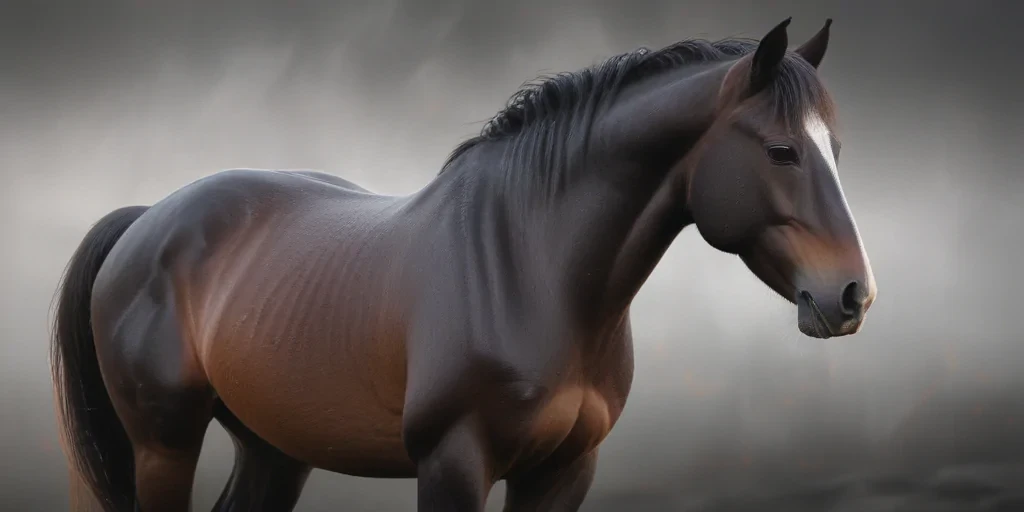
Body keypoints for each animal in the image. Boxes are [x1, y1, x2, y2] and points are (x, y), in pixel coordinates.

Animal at [50, 17, 876, 512]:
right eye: (781, 150)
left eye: (836, 147)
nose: (852, 296)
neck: (530, 271)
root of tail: (148, 219)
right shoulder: (454, 463)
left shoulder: (564, 470)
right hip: (164, 443)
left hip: (272, 448)